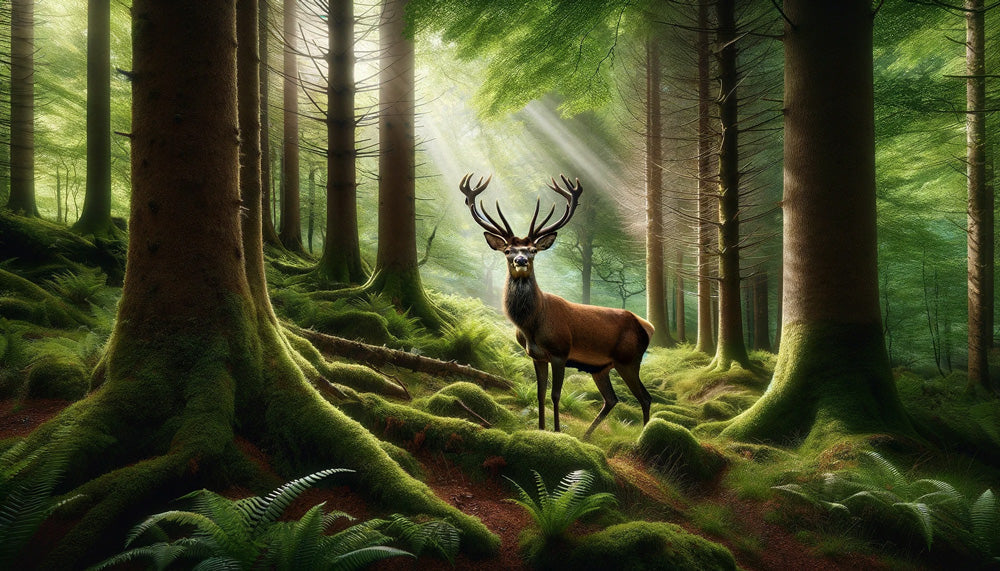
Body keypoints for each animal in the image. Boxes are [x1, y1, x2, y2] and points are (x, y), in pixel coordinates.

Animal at [459, 173, 654, 440]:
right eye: (508, 250)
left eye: (533, 250)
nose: (520, 260)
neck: (531, 324)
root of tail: (646, 326)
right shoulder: (536, 355)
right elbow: (540, 393)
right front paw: (541, 430)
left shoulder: (561, 352)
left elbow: (556, 394)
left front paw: (558, 432)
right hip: (601, 367)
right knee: (611, 399)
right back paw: (586, 437)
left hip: (629, 359)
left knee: (645, 397)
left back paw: (641, 440)